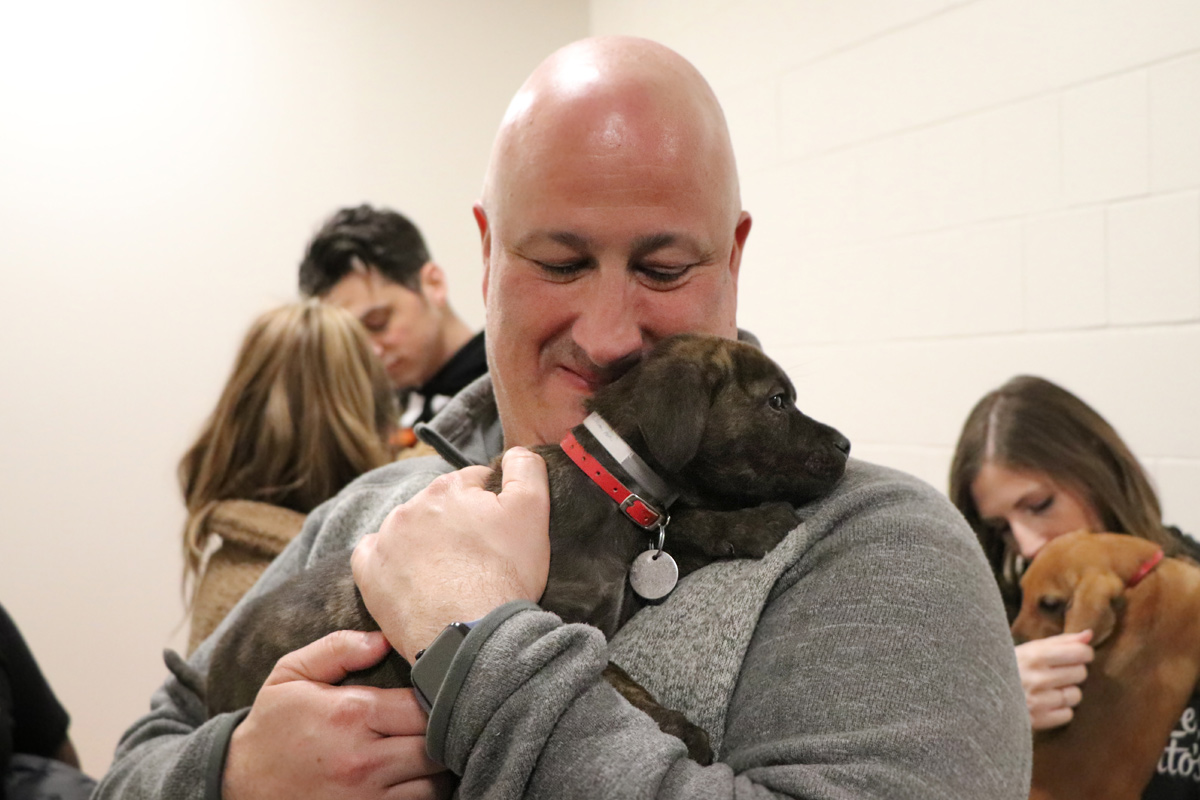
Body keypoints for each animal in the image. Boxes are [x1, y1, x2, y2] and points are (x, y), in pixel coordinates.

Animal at [201, 333, 849, 762]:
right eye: (777, 402)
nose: (845, 444)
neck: (610, 484)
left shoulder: (628, 575)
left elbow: (684, 529)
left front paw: (754, 523)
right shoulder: (555, 615)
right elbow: (609, 675)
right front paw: (678, 728)